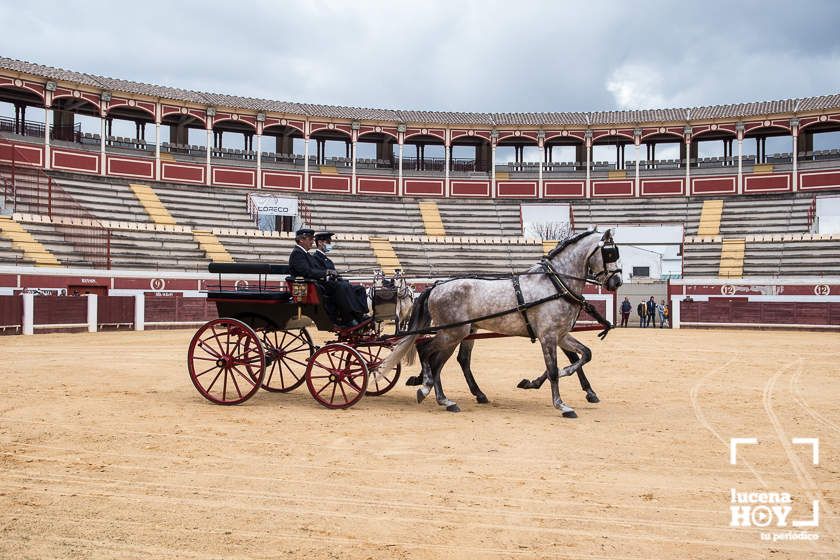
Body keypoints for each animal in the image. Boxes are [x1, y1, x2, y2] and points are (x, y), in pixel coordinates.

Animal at [378, 230, 620, 418]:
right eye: (609, 252)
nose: (616, 281)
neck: (555, 284)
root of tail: (436, 286)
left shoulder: (561, 335)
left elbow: (584, 355)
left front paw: (547, 381)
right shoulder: (548, 336)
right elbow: (552, 370)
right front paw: (561, 405)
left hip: (461, 333)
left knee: (444, 361)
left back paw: (448, 398)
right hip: (453, 333)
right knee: (426, 352)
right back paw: (428, 388)